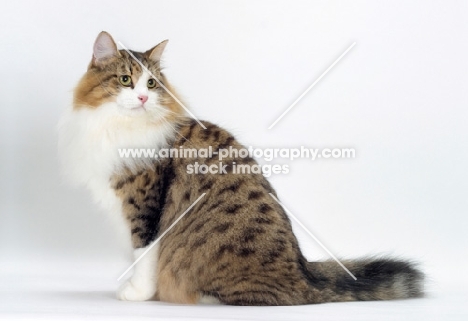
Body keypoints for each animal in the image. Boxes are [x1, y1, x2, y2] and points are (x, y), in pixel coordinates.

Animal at [58, 31, 424, 304]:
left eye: (151, 84)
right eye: (125, 80)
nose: (144, 99)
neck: (118, 126)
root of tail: (304, 273)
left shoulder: (144, 205)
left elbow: (143, 255)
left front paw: (136, 293)